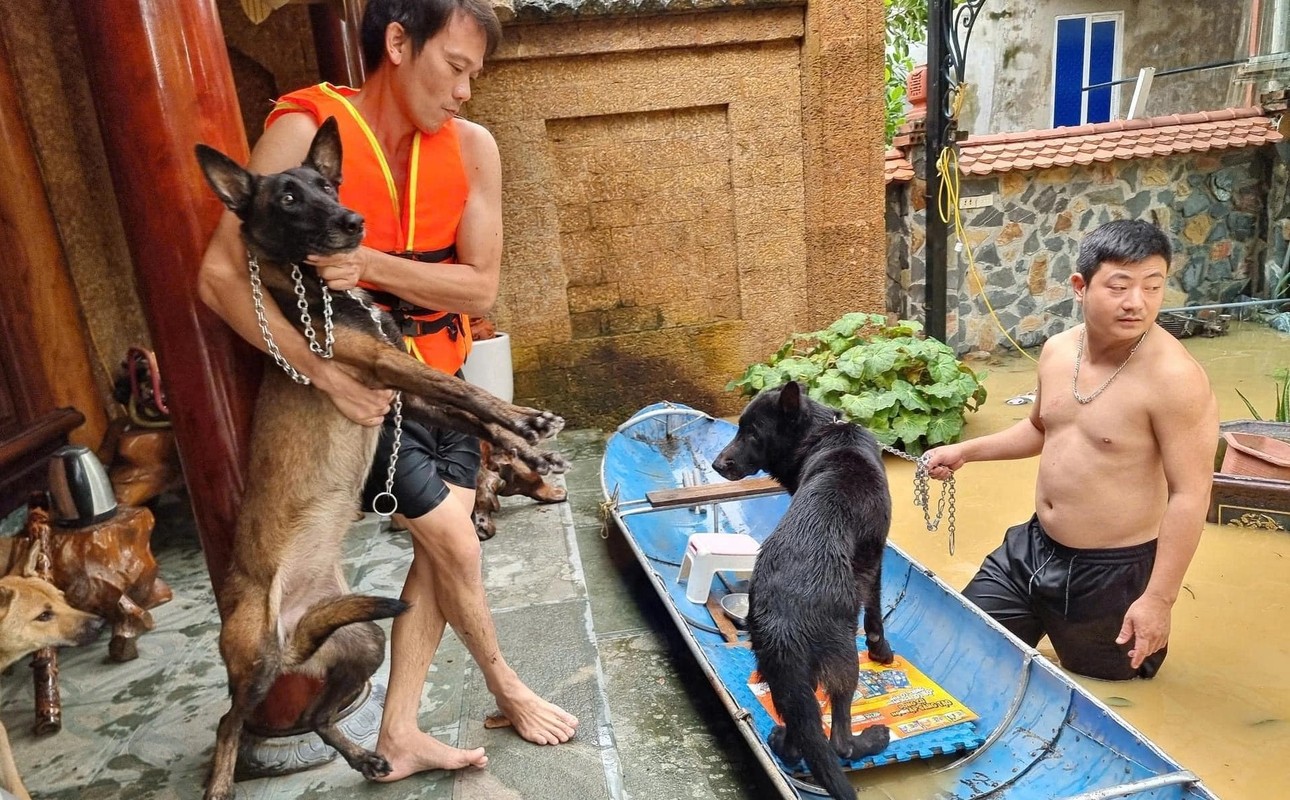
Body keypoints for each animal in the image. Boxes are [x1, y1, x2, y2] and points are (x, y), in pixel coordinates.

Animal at [712, 381, 892, 800]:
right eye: (740, 429)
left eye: (751, 434)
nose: (716, 464)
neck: (823, 432)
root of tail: (783, 619)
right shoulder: (875, 559)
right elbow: (875, 613)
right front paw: (883, 651)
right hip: (843, 662)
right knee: (838, 741)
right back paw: (872, 739)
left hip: (785, 673)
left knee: (802, 738)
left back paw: (780, 740)